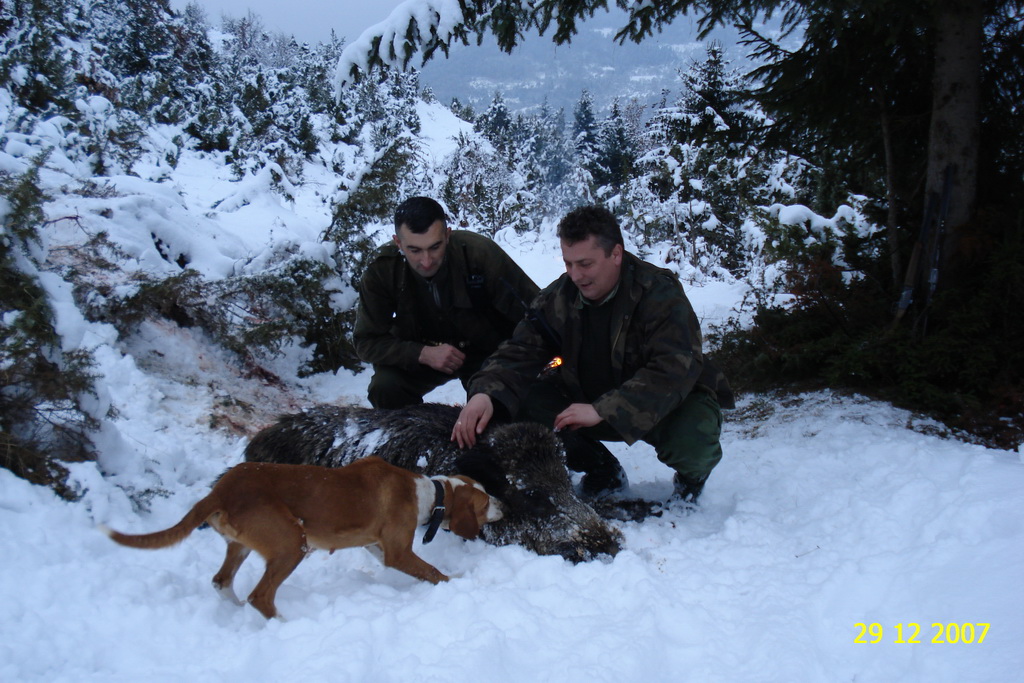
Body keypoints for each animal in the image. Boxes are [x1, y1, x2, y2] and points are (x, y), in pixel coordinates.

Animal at [101, 456, 501, 618]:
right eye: (484, 503)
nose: (505, 506)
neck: (429, 493)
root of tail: (221, 490)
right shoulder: (398, 553)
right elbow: (433, 572)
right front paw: (457, 581)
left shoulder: (378, 547)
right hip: (293, 543)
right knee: (260, 596)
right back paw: (283, 623)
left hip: (241, 546)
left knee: (222, 582)